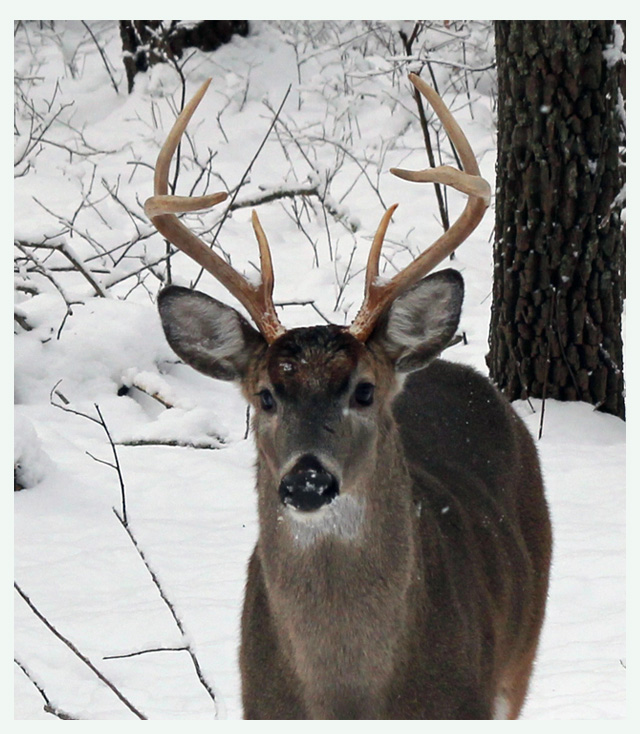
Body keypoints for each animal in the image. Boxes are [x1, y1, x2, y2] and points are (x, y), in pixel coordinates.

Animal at [144, 73, 552, 720]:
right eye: (265, 397)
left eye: (363, 391)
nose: (307, 480)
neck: (347, 695)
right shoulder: (260, 705)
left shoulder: (467, 699)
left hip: (522, 654)